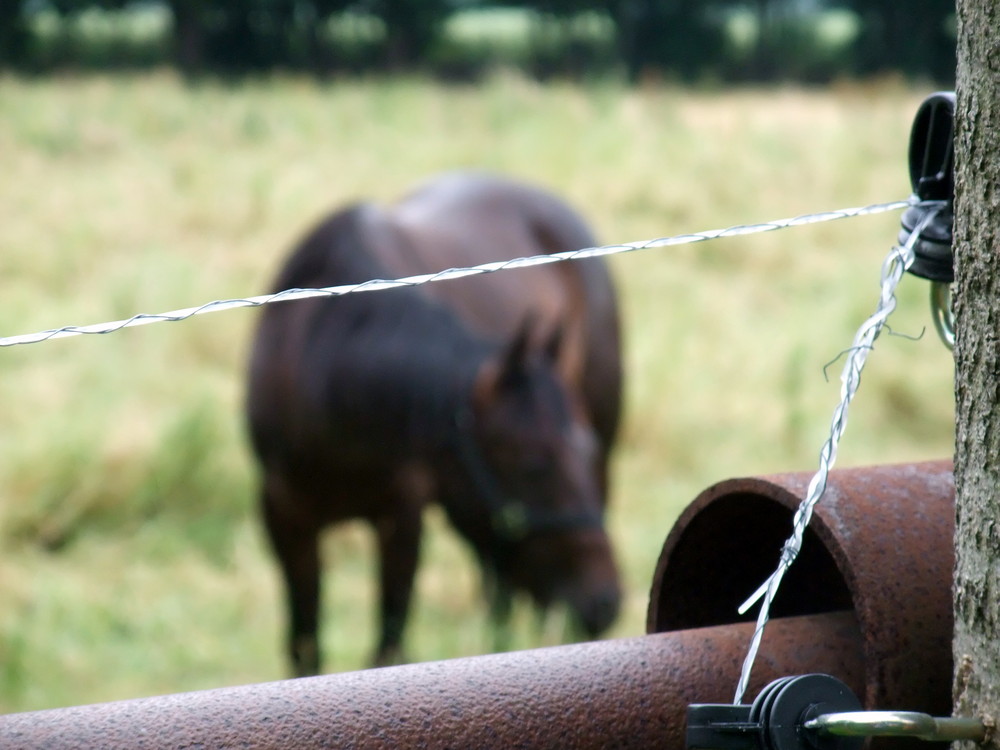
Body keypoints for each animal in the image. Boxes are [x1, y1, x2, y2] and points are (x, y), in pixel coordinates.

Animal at [246, 173, 620, 680]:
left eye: (585, 448)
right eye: (533, 464)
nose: (603, 601)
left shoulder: (402, 516)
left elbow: (388, 648)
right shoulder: (285, 519)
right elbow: (305, 650)